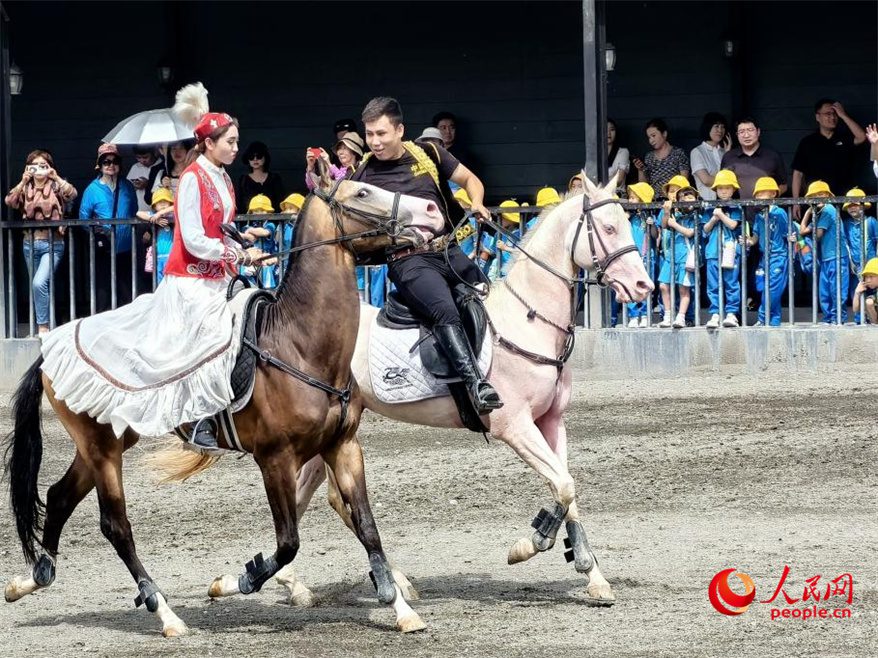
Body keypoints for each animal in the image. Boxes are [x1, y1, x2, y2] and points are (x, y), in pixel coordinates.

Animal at [3, 173, 444, 632]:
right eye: (362, 192)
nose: (432, 211)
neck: (300, 345)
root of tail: (49, 347)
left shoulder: (343, 445)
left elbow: (367, 527)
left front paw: (402, 608)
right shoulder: (274, 459)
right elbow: (288, 543)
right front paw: (235, 582)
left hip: (106, 443)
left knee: (59, 497)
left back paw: (31, 580)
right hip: (103, 449)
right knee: (115, 525)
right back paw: (165, 613)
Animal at [276, 174, 652, 604]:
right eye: (608, 228)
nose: (643, 285)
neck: (528, 320)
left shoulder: (552, 422)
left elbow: (566, 488)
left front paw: (593, 574)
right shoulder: (515, 427)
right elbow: (563, 485)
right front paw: (530, 544)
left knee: (316, 496)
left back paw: (310, 584)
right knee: (323, 498)